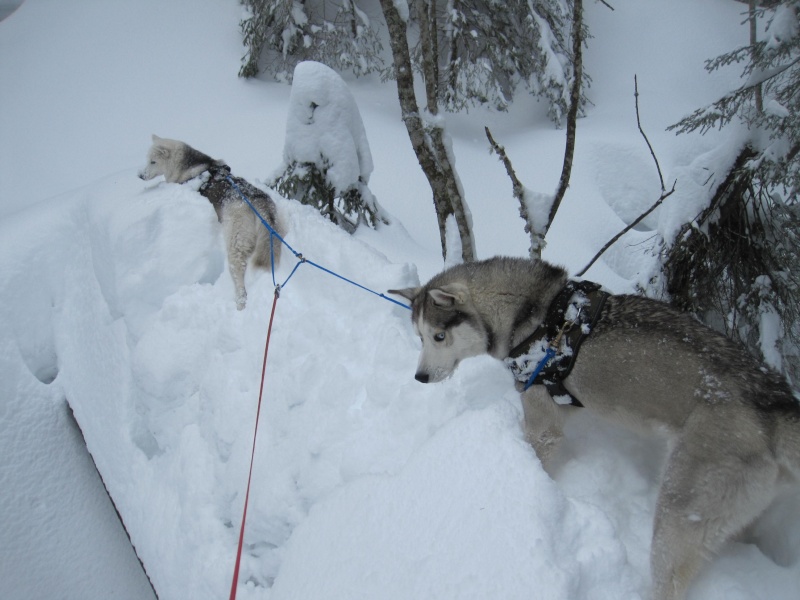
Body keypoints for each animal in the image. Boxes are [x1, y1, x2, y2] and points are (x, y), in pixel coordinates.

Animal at [139, 134, 286, 308]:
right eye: (148, 160)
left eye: (153, 162)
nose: (140, 175)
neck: (186, 164)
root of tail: (257, 198)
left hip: (235, 242)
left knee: (239, 274)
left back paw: (240, 303)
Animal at [390, 256, 800, 600]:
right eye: (420, 337)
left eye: (438, 336)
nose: (420, 377)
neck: (530, 316)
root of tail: (776, 401)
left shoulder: (544, 424)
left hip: (679, 512)